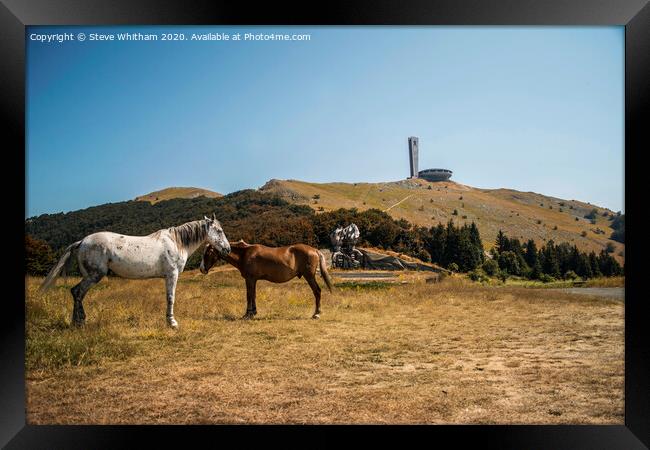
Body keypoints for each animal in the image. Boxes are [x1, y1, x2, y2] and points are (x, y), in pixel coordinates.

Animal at [38, 214, 230, 326]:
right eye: (219, 231)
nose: (227, 249)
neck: (176, 242)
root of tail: (82, 242)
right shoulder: (172, 275)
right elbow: (170, 298)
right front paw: (172, 322)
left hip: (89, 276)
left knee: (77, 293)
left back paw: (76, 322)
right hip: (94, 276)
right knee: (77, 292)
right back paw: (80, 323)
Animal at [199, 241, 332, 318]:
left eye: (208, 253)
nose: (202, 269)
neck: (245, 254)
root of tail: (314, 250)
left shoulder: (250, 279)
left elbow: (249, 295)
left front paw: (248, 314)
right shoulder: (253, 280)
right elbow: (253, 295)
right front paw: (253, 312)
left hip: (309, 276)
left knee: (317, 291)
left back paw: (317, 313)